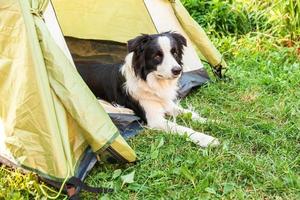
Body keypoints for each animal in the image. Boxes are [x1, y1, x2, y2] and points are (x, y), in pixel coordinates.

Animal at [76, 31, 219, 147]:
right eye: (157, 56)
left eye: (174, 53)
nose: (178, 70)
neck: (152, 83)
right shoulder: (154, 119)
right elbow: (181, 128)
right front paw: (207, 139)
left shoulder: (167, 103)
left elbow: (190, 113)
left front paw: (212, 121)